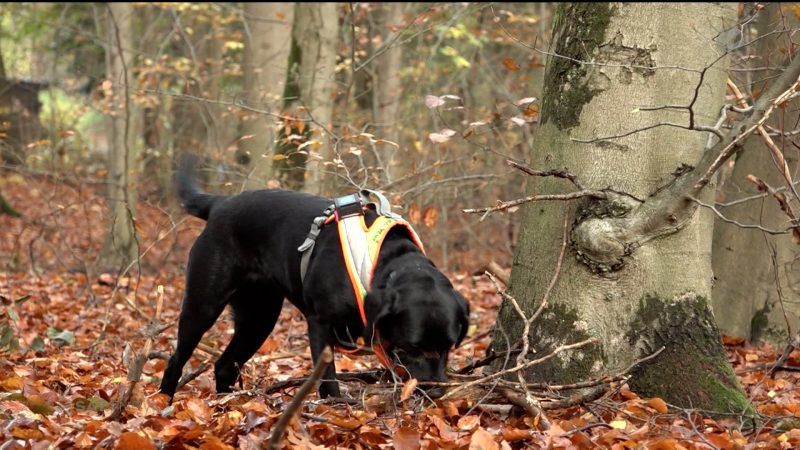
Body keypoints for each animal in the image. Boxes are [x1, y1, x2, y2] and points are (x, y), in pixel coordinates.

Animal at [159, 156, 468, 400]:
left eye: (449, 347)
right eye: (413, 347)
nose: (436, 390)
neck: (384, 262)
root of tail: (221, 204)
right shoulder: (320, 323)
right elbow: (328, 375)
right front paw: (335, 405)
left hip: (259, 317)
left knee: (224, 365)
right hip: (203, 305)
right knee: (176, 360)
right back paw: (164, 401)